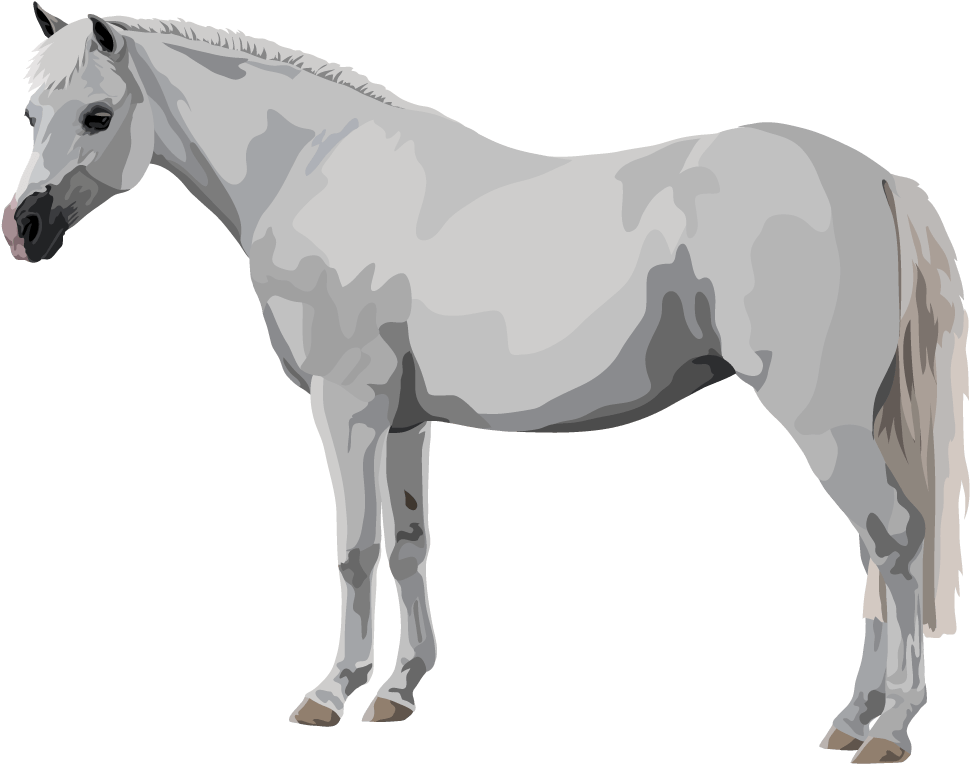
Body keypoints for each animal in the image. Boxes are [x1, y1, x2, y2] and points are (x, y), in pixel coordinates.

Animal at [5, 5, 965, 752]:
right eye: (34, 110)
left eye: (97, 115)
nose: (23, 228)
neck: (317, 172)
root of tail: (876, 177)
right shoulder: (402, 418)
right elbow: (408, 541)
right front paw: (398, 690)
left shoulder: (346, 407)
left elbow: (352, 548)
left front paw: (330, 693)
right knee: (876, 551)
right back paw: (853, 718)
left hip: (822, 420)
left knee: (894, 540)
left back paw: (886, 729)